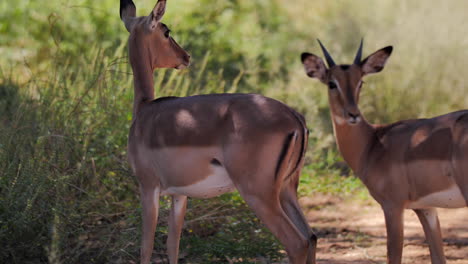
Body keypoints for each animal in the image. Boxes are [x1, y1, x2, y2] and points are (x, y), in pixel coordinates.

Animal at [120, 0, 318, 264]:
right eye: (167, 32)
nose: (186, 56)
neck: (145, 111)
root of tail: (295, 118)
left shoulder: (148, 186)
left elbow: (146, 246)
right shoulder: (178, 194)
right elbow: (173, 245)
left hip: (258, 193)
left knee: (296, 242)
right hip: (287, 190)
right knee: (311, 236)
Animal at [302, 39, 466, 264]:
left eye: (361, 82)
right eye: (331, 83)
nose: (353, 114)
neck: (372, 144)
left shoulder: (392, 206)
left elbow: (393, 256)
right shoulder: (426, 208)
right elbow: (438, 257)